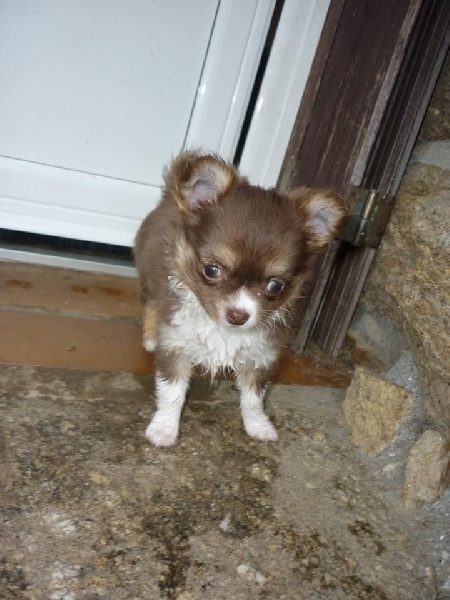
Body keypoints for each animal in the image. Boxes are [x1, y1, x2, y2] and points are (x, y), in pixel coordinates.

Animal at [134, 152, 348, 448]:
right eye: (211, 270)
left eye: (276, 285)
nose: (238, 315)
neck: (223, 330)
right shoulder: (176, 346)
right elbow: (172, 393)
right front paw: (164, 429)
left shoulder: (261, 357)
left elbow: (253, 400)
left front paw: (259, 426)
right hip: (148, 280)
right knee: (151, 306)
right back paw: (150, 338)